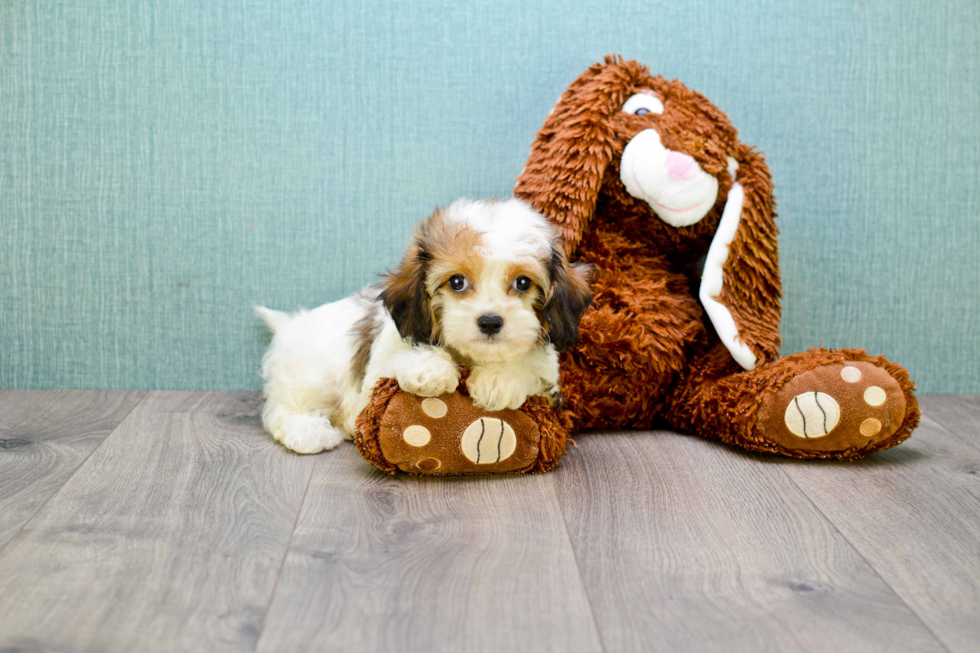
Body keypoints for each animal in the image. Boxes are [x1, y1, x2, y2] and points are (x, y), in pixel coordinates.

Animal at [255, 199, 588, 454]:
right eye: (457, 282)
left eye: (522, 283)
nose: (490, 321)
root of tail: (291, 322)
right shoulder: (380, 367)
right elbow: (403, 355)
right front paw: (430, 369)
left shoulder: (548, 381)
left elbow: (529, 365)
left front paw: (499, 380)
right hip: (309, 376)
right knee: (283, 410)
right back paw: (310, 432)